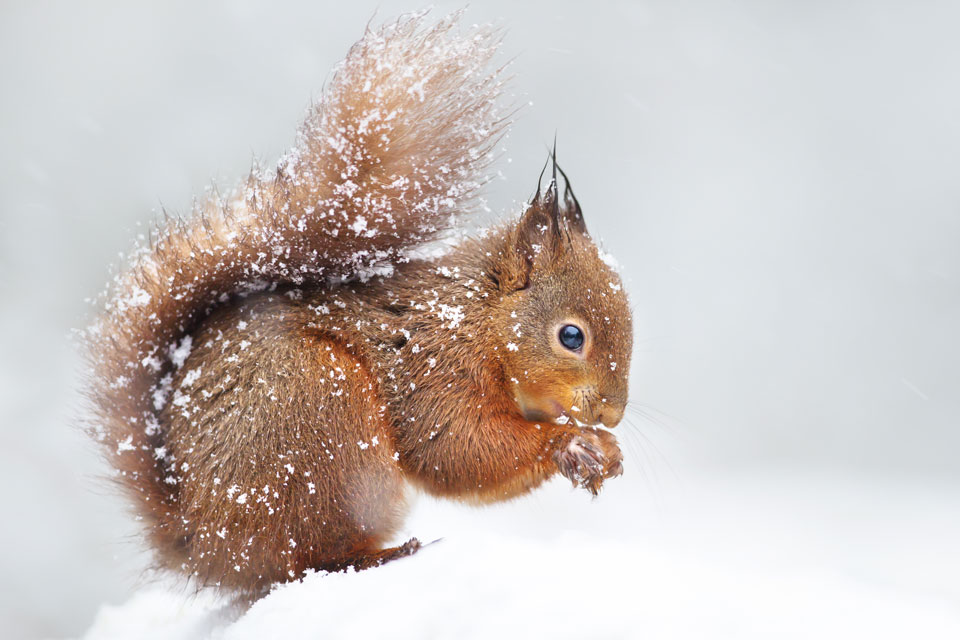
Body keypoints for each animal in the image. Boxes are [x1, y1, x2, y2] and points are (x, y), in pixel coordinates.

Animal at [86, 13, 632, 596]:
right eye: (571, 336)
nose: (612, 414)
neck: (481, 319)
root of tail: (203, 543)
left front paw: (604, 448)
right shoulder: (433, 366)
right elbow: (458, 451)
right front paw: (573, 443)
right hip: (320, 419)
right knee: (308, 561)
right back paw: (381, 556)